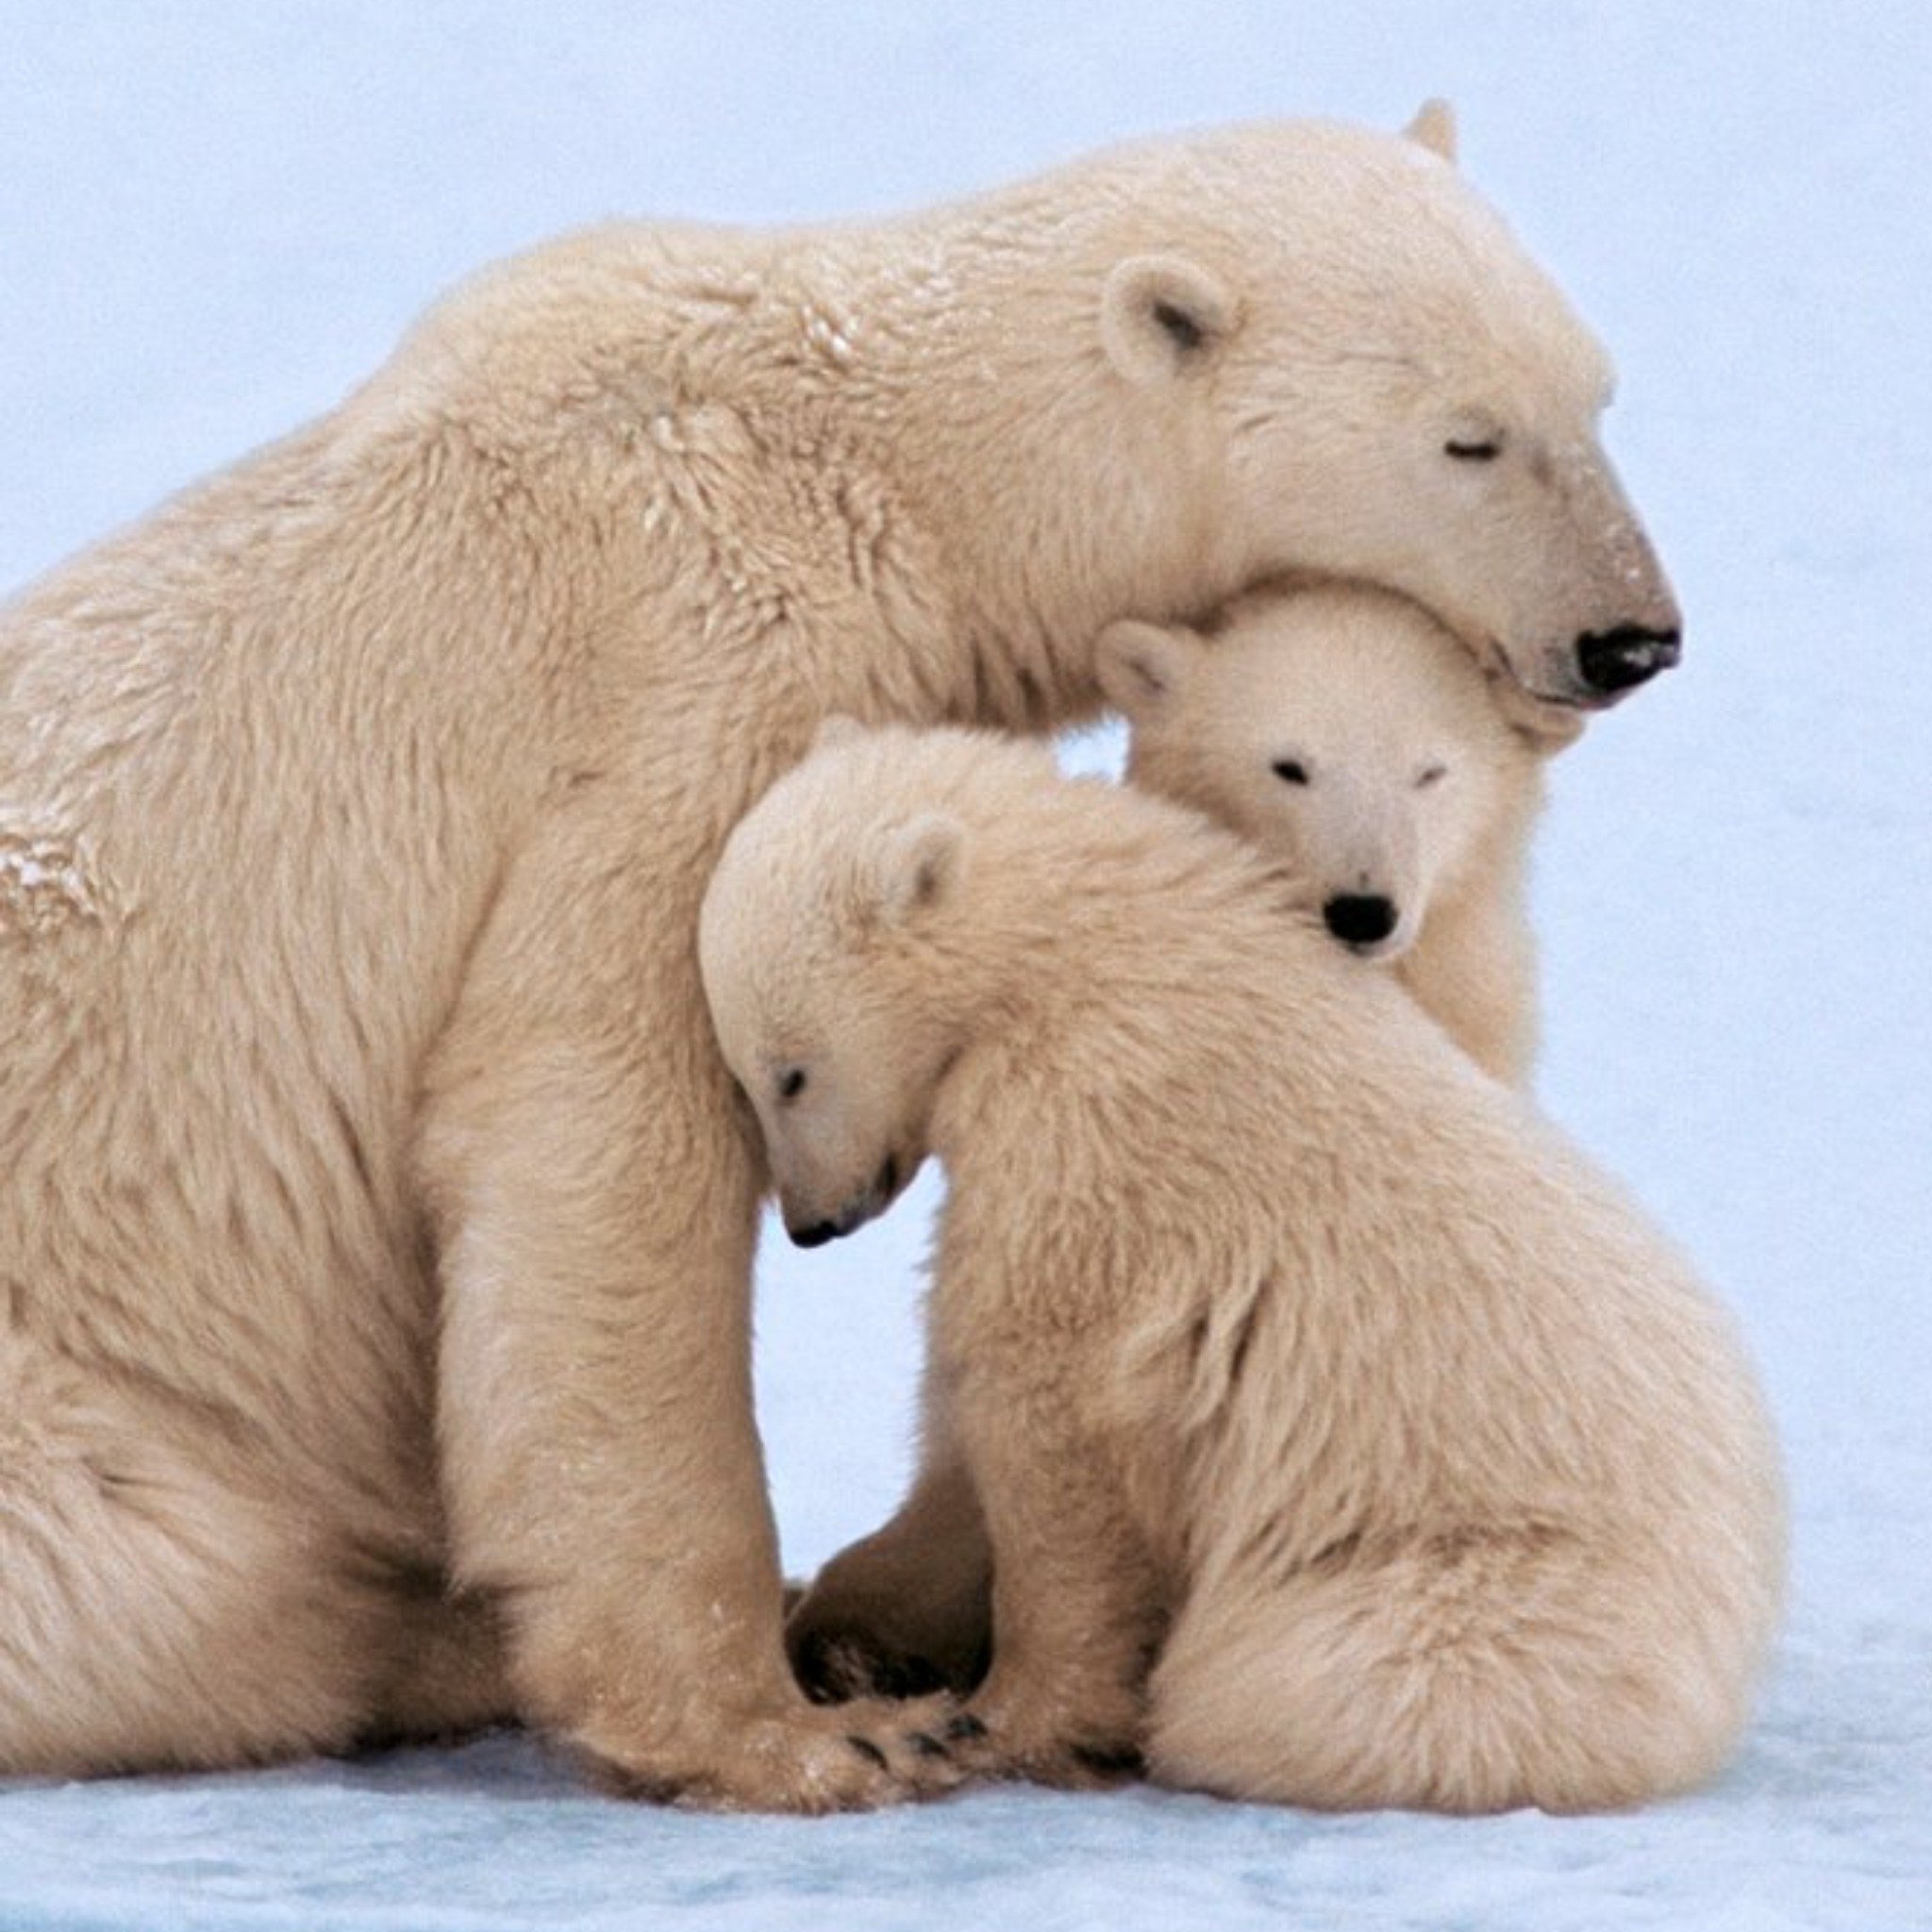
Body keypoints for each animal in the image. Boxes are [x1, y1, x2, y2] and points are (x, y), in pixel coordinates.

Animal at [702, 720, 1785, 1812]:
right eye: (745, 1075)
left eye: (789, 1072)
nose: (812, 1223)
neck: (1081, 947)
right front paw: (855, 1630)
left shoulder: (1094, 1127)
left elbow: (1045, 1407)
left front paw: (995, 1721)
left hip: (1490, 1586)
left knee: (1287, 1684)